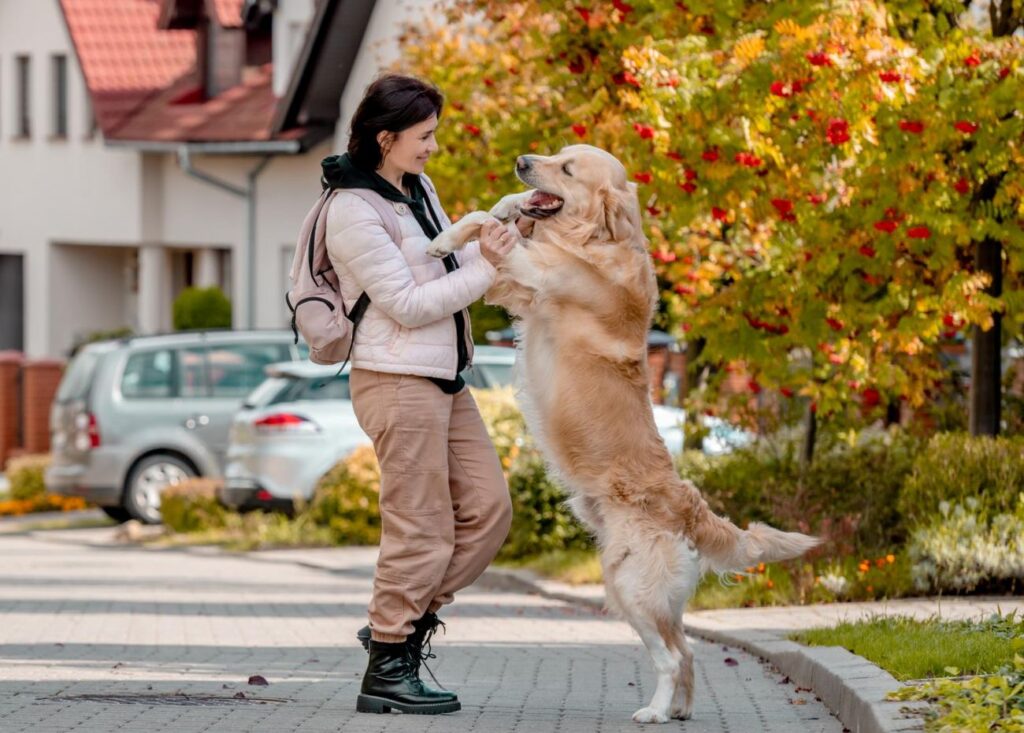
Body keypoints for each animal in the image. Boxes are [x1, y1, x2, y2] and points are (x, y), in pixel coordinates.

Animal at [423, 146, 815, 724]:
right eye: (556, 153)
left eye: (567, 169)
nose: (522, 159)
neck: (592, 240)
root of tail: (691, 508)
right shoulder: (513, 285)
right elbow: (492, 221)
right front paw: (498, 209)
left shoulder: (536, 273)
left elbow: (483, 225)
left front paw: (445, 238)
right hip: (652, 594)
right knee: (688, 649)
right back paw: (678, 710)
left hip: (628, 585)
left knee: (671, 656)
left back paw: (653, 711)